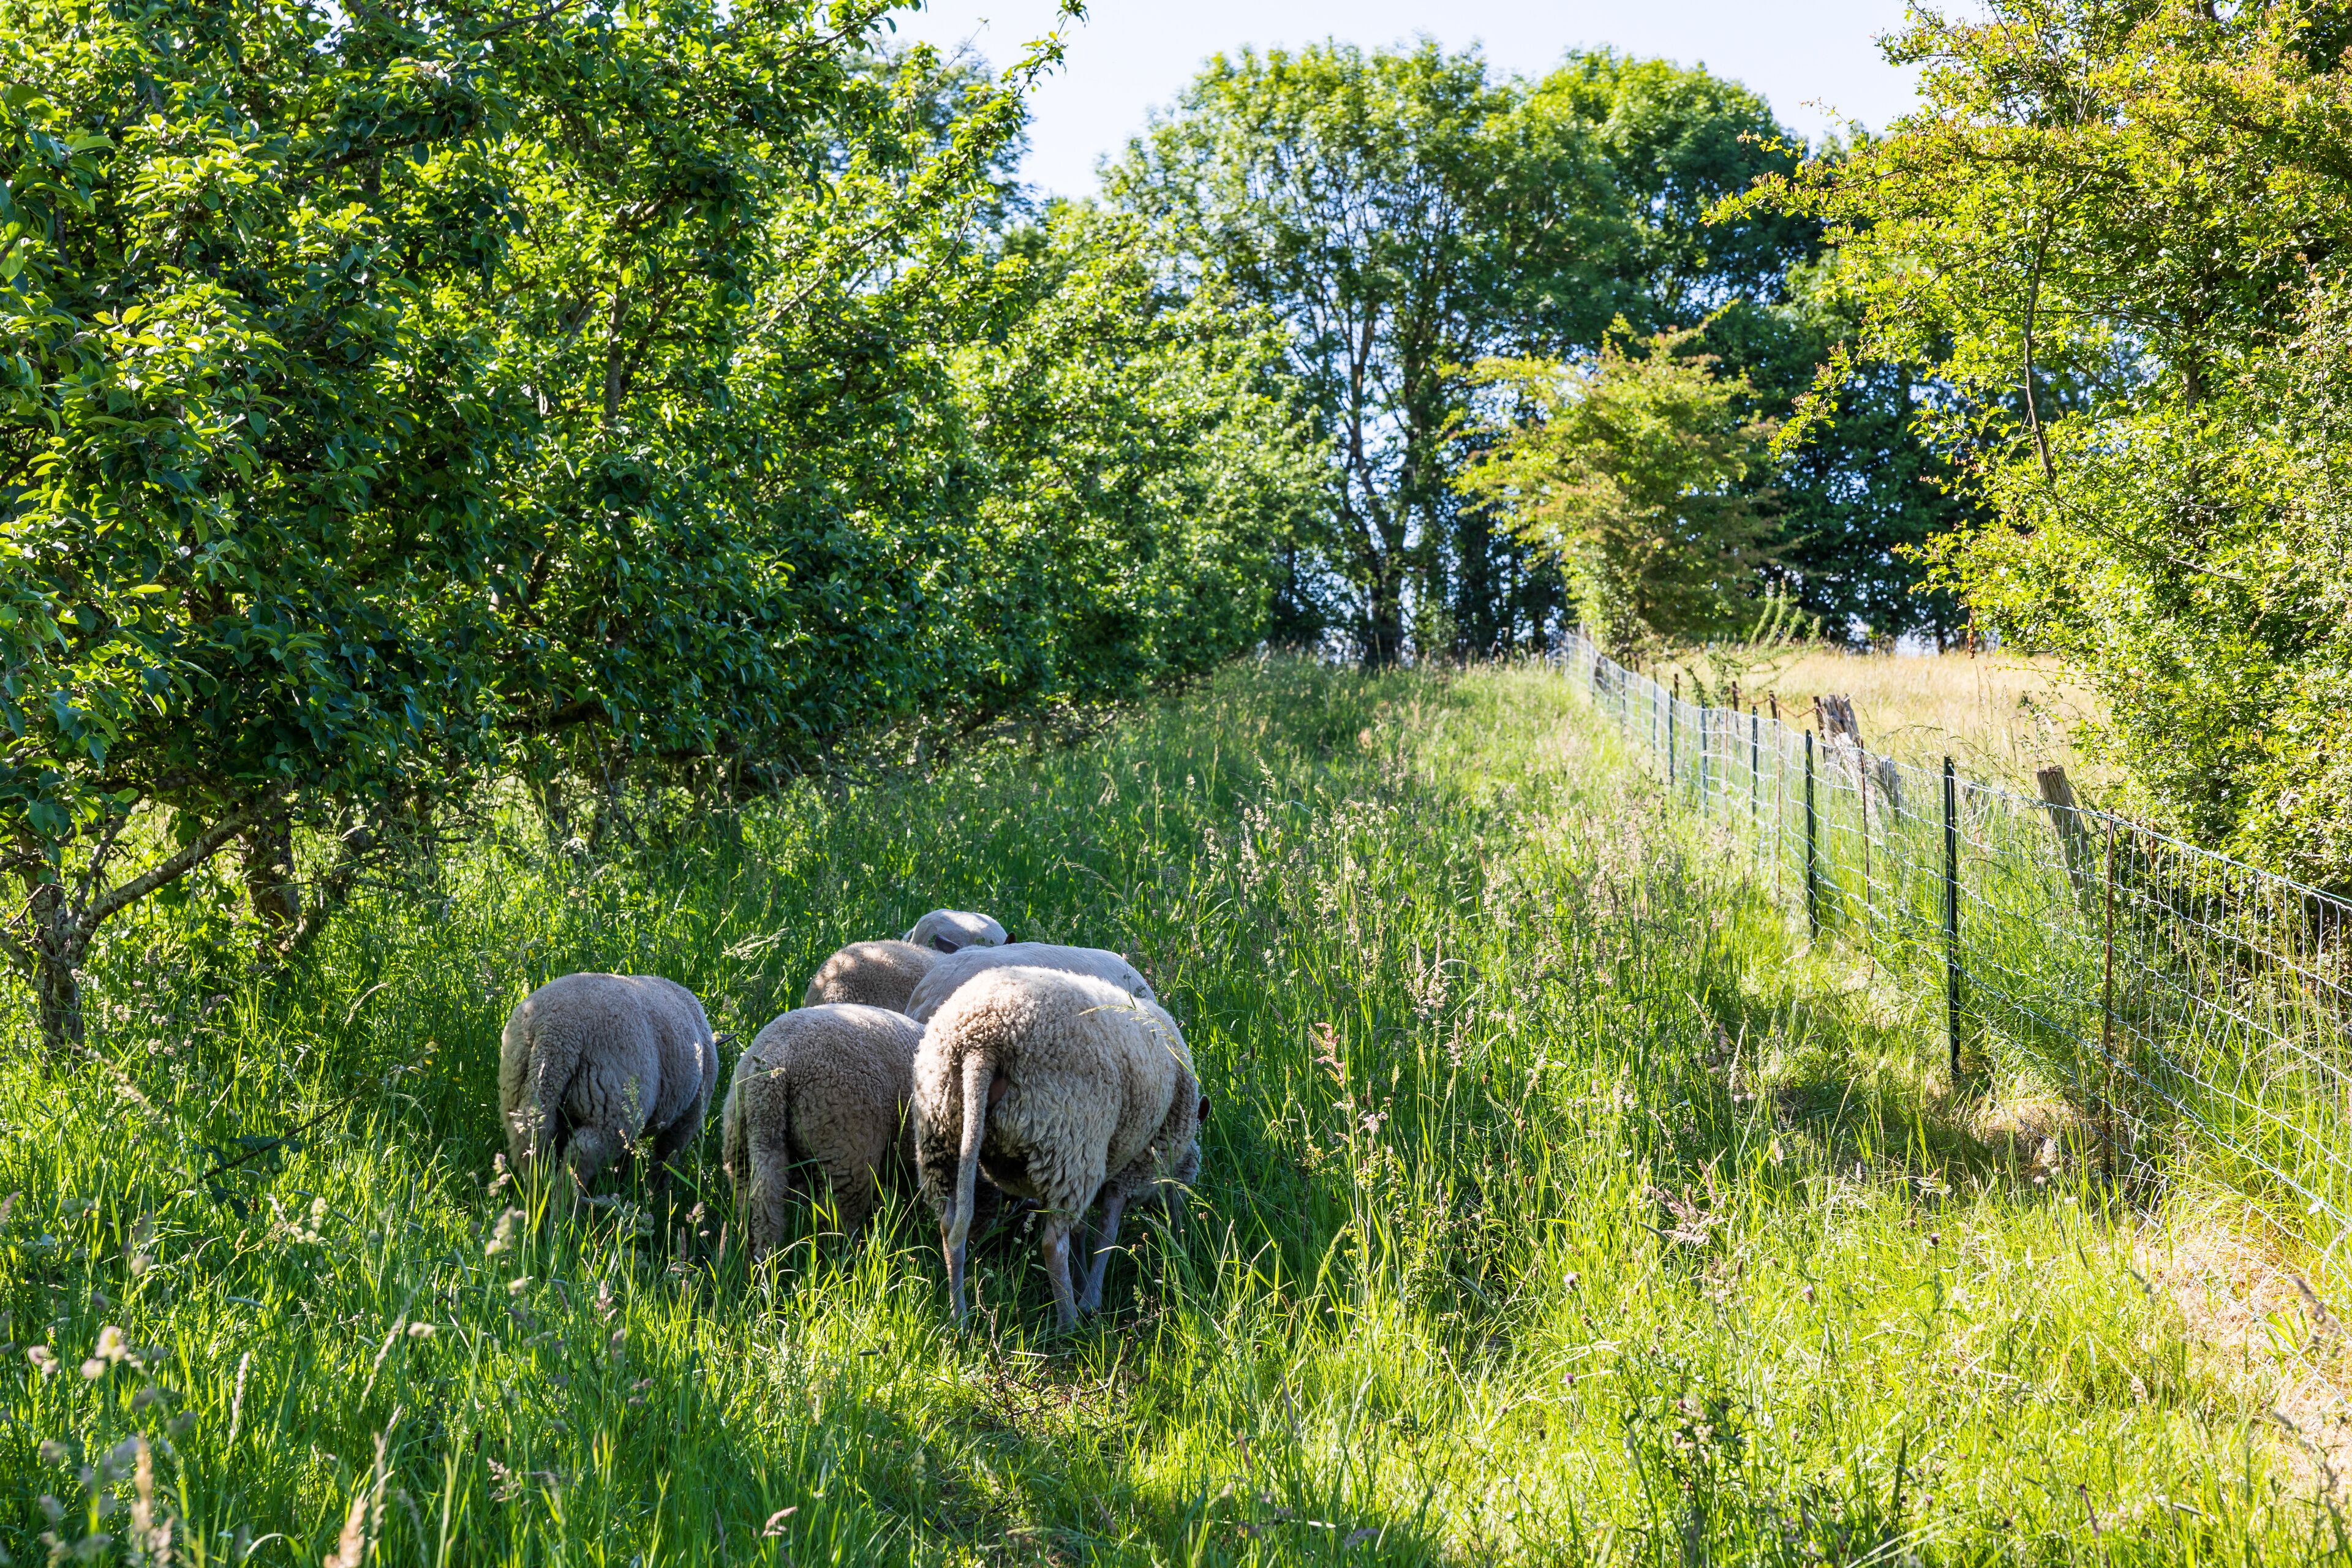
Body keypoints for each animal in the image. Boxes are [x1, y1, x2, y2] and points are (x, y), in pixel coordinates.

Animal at [498, 972, 719, 1210]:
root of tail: (556, 1032)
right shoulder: (688, 1118)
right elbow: (664, 1160)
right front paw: (659, 1201)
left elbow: (628, 1158)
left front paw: (622, 1183)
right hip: (611, 1109)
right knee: (578, 1159)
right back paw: (567, 1212)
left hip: (525, 1092)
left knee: (532, 1147)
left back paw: (536, 1206)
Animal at [720, 1003, 925, 1256]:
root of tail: (774, 1061)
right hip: (845, 1152)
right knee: (835, 1220)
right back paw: (843, 1259)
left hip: (746, 1146)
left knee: (755, 1207)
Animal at [912, 965, 1203, 1329]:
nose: (1180, 1231)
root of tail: (982, 1039)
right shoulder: (1128, 1169)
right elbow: (1106, 1233)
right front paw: (1091, 1299)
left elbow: (1080, 1231)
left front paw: (1082, 1282)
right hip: (1070, 1142)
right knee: (1052, 1244)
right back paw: (1069, 1324)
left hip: (940, 1140)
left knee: (951, 1225)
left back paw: (959, 1317)